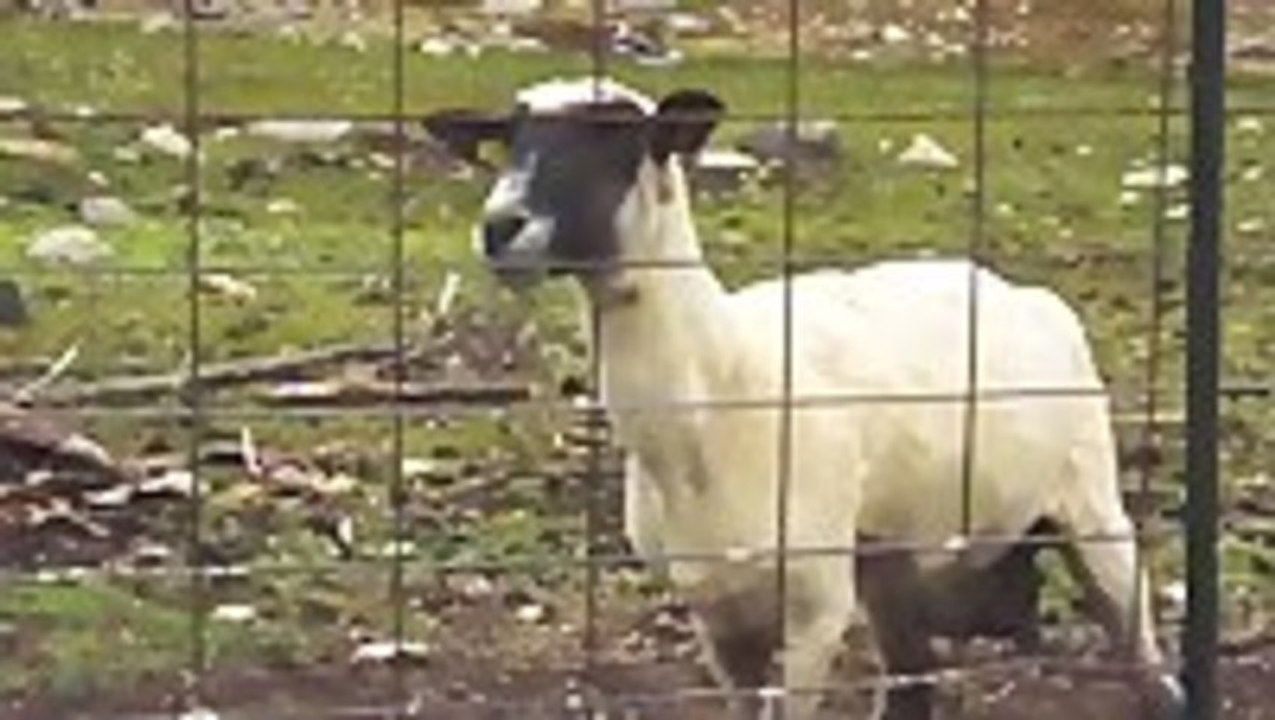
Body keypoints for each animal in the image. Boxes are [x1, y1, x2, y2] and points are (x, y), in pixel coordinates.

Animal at [425, 77, 1184, 720]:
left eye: (614, 138)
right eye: (508, 139)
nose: (500, 226)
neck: (718, 388)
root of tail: (1016, 288)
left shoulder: (816, 607)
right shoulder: (717, 618)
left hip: (1091, 501)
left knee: (1143, 654)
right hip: (889, 555)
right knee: (912, 684)